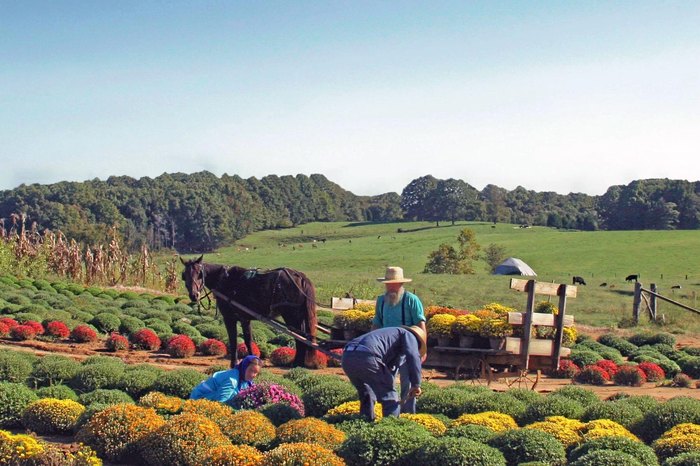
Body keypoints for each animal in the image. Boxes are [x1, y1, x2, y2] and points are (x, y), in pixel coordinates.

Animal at [183, 255, 320, 368]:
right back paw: (298, 363)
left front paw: (235, 363)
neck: (224, 280)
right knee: (303, 338)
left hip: (291, 315)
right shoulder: (245, 318)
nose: (194, 295)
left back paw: (296, 363)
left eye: (199, 273)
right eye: (184, 275)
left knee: (300, 338)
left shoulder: (230, 318)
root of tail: (300, 276)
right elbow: (248, 340)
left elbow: (235, 341)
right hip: (299, 316)